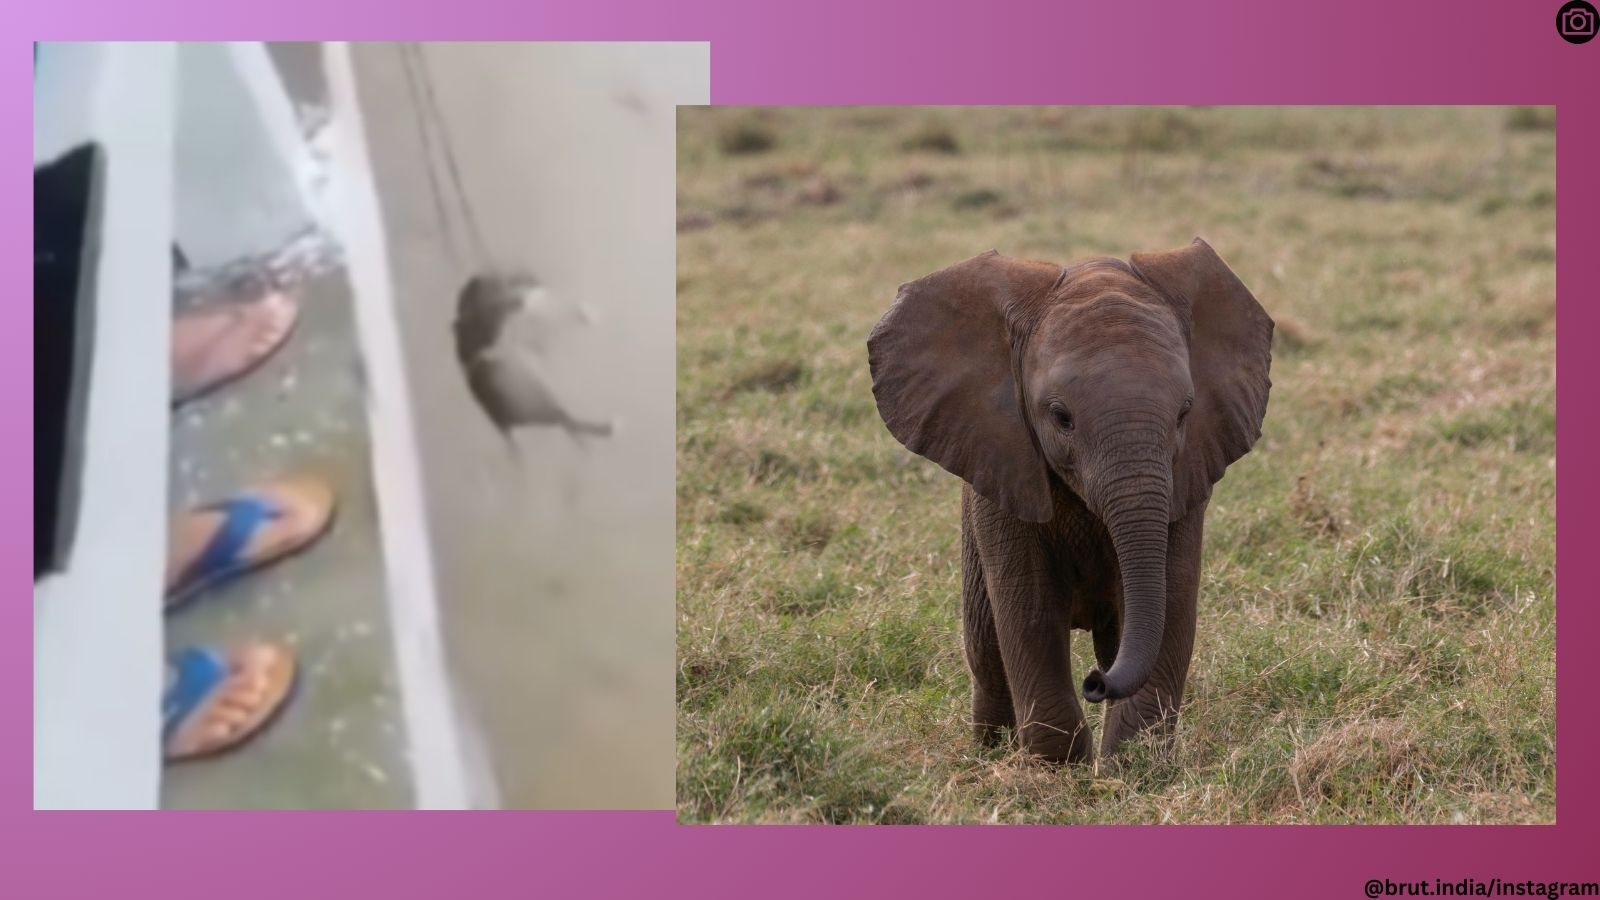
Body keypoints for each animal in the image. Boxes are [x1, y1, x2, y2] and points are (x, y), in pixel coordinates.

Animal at [867, 238, 1273, 763]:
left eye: (1185, 412)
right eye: (1061, 417)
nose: (1095, 684)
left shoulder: (1187, 476)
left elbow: (1173, 600)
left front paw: (1134, 766)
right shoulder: (1002, 469)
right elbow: (1029, 609)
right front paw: (1059, 767)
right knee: (986, 651)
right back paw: (991, 752)